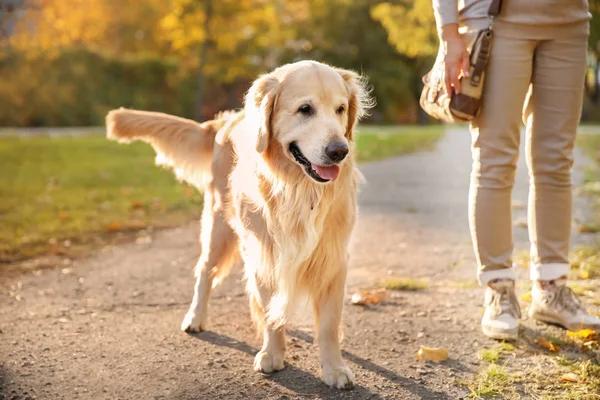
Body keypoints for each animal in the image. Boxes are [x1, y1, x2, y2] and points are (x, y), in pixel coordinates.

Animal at [105, 59, 372, 388]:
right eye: (305, 109)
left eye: (340, 109)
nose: (339, 151)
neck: (296, 189)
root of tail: (227, 120)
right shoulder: (265, 254)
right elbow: (269, 310)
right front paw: (272, 354)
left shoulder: (333, 258)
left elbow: (328, 325)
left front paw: (334, 368)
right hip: (218, 226)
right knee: (204, 271)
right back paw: (195, 318)